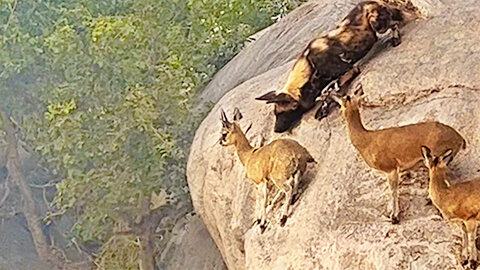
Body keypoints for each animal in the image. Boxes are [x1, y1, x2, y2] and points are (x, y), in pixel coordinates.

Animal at [334, 90, 464, 224]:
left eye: (342, 102)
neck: (366, 140)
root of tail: (459, 138)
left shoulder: (391, 168)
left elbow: (393, 191)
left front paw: (394, 217)